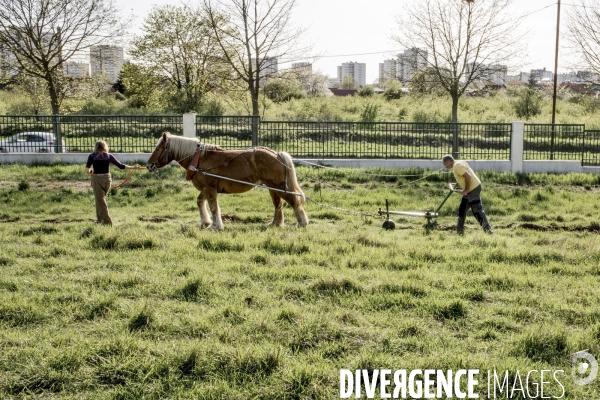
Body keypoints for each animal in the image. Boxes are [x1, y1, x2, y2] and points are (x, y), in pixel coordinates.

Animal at [146, 133, 310, 230]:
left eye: (158, 148)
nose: (149, 165)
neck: (198, 158)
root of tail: (276, 154)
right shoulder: (206, 189)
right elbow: (200, 202)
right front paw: (205, 222)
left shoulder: (210, 188)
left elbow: (213, 207)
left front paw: (216, 226)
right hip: (273, 187)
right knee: (278, 204)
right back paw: (275, 223)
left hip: (277, 186)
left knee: (293, 200)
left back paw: (302, 222)